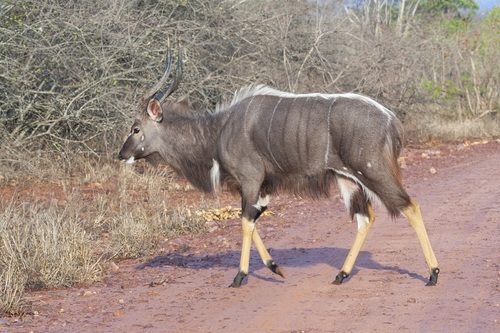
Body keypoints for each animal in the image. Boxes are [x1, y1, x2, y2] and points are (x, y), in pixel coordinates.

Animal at [119, 48, 440, 286]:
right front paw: (275, 267)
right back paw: (341, 274)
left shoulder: (250, 179)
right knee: (366, 217)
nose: (122, 155)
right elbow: (253, 218)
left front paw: (240, 276)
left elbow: (246, 221)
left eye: (135, 129)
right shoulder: (261, 186)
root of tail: (391, 120)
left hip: (373, 171)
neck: (217, 131)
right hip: (347, 179)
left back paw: (433, 274)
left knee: (410, 206)